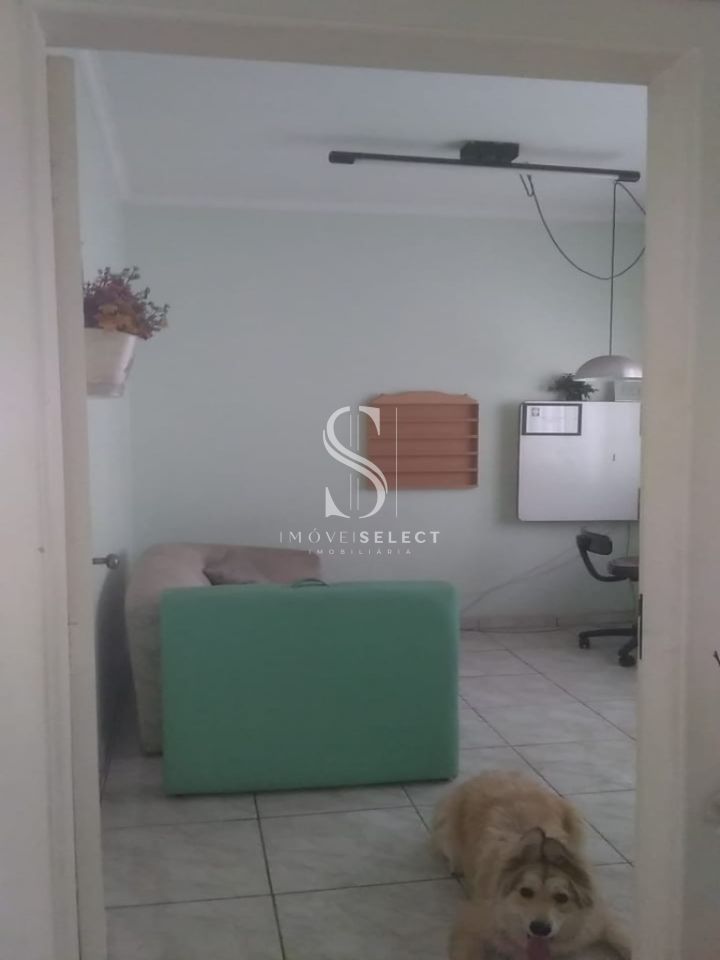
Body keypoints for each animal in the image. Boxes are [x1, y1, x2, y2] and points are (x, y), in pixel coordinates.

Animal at [433, 771, 631, 960]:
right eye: (525, 892)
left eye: (562, 897)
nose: (540, 929)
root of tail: (495, 773)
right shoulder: (470, 923)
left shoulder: (600, 918)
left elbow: (623, 937)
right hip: (448, 833)